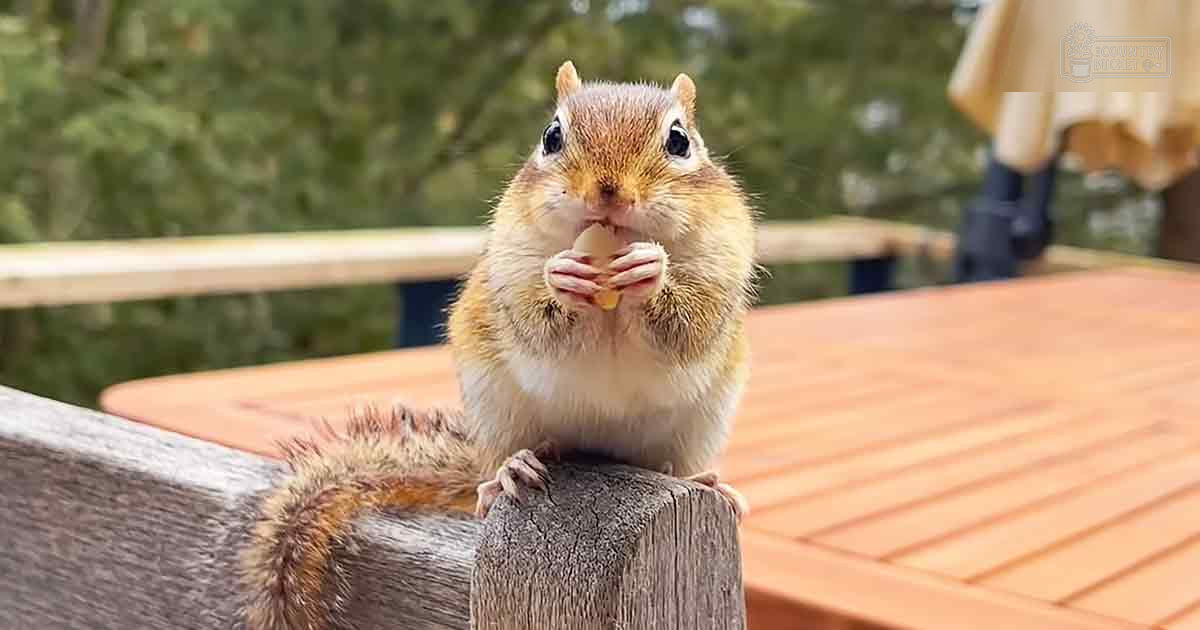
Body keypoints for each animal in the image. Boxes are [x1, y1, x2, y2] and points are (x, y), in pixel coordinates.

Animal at [241, 61, 758, 630]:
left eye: (679, 140)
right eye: (552, 136)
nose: (608, 193)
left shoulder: (722, 263)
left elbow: (690, 322)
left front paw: (652, 271)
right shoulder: (508, 266)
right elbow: (535, 319)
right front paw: (561, 280)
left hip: (701, 422)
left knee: (676, 463)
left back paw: (702, 481)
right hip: (496, 406)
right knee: (501, 463)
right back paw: (512, 470)